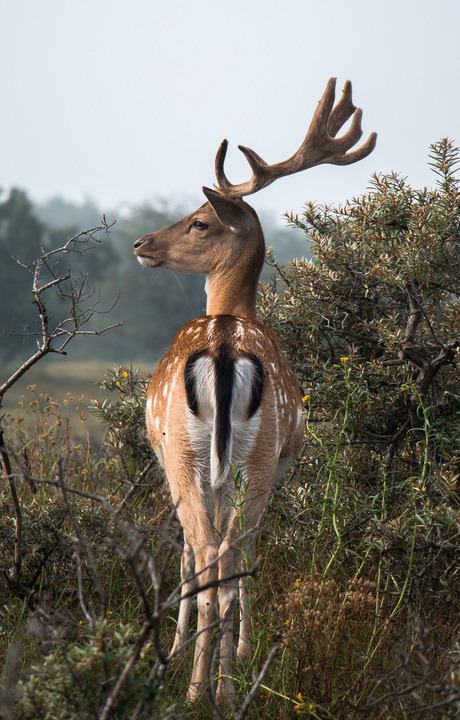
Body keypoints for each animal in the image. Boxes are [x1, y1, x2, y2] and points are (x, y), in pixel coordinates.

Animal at [133, 77, 378, 704]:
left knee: (210, 556)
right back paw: (218, 686)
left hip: (201, 452)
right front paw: (228, 653)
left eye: (199, 221)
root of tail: (223, 346)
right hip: (248, 457)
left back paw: (201, 689)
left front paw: (186, 652)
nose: (143, 243)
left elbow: (193, 557)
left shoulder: (184, 461)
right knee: (227, 556)